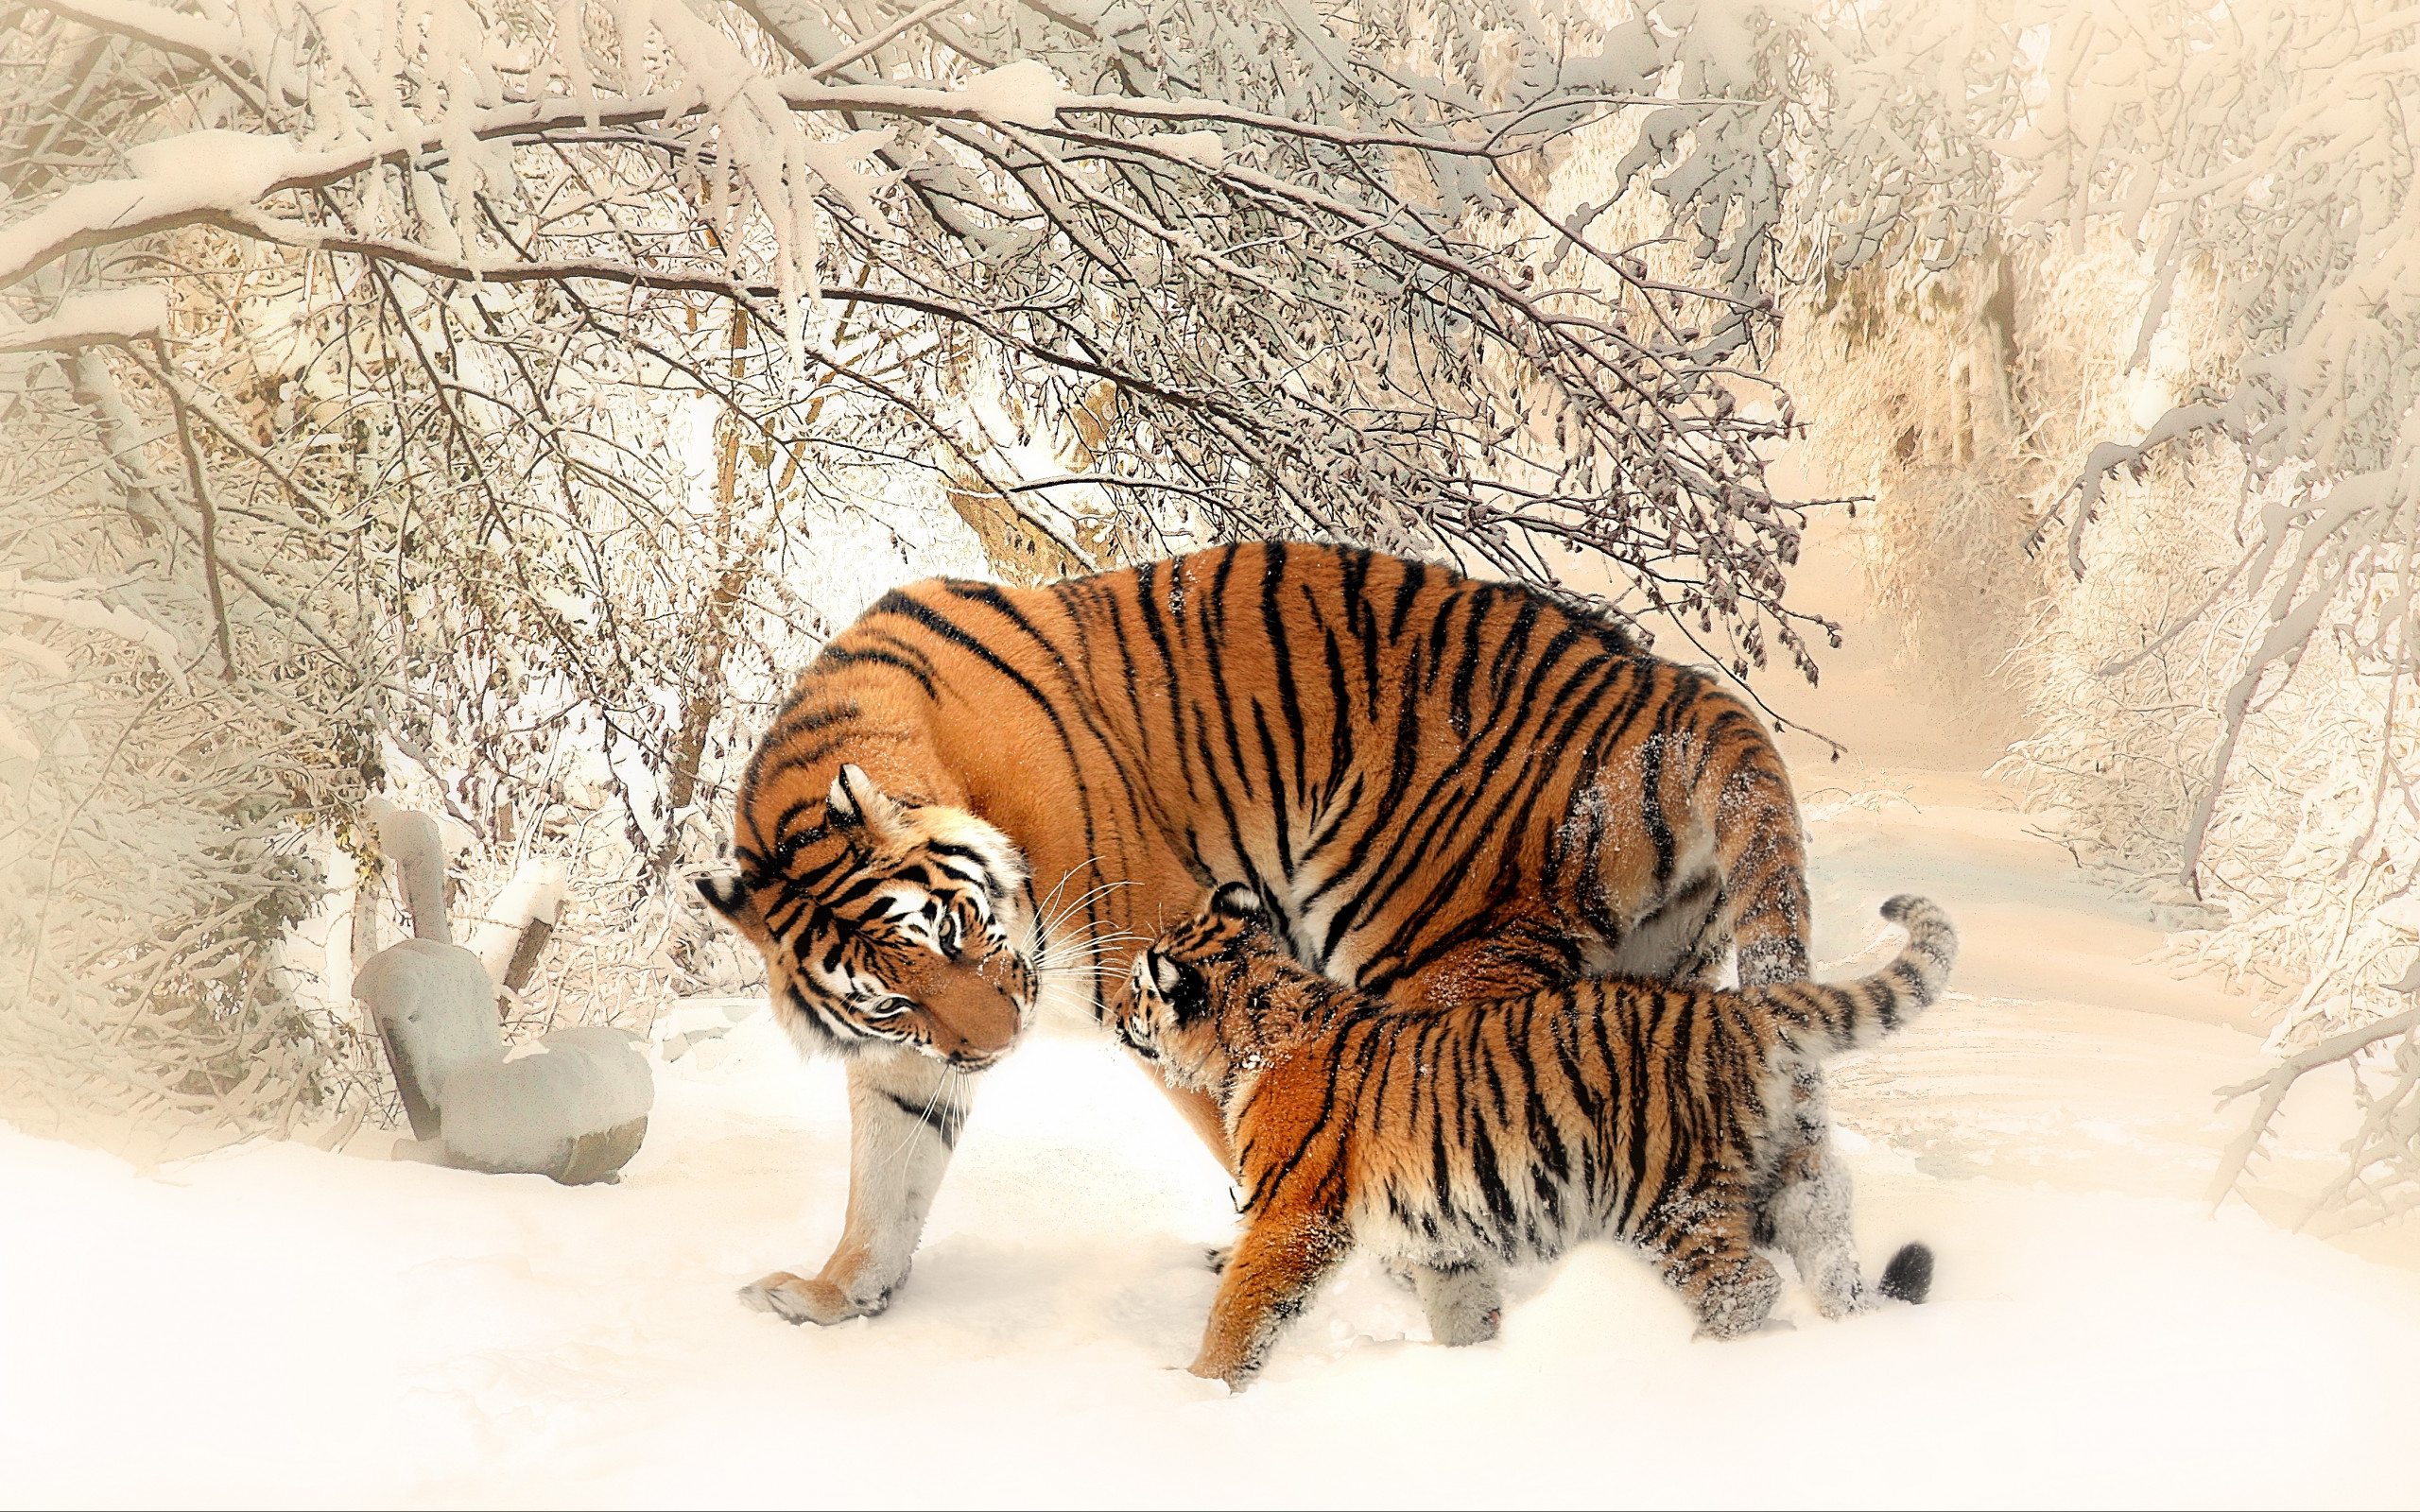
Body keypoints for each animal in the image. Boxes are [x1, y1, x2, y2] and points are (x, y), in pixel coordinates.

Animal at [698, 541, 1828, 1328]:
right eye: (893, 997)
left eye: (960, 931)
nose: (997, 1047)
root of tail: (1676, 688)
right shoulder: (908, 1057)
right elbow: (886, 1177)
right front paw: (835, 1296)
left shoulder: (1162, 957)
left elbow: (1249, 1128)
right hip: (1656, 976)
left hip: (1432, 952)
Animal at [1107, 883, 1956, 1385]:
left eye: (1141, 988)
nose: (1110, 1013)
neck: (1259, 1025)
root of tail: (1733, 1008)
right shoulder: (1440, 1236)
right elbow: (1461, 1309)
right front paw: (1475, 1372)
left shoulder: (1291, 1219)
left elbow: (1240, 1314)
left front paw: (1199, 1395)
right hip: (1785, 1178)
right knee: (1828, 1253)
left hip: (1668, 1196)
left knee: (1746, 1285)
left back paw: (1700, 1363)